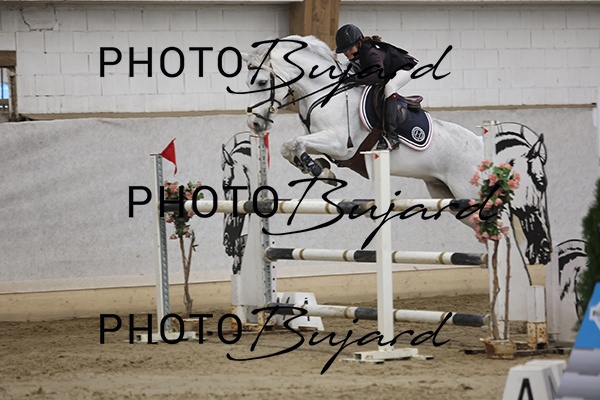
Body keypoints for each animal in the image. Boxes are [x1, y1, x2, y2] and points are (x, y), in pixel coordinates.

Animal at [242, 35, 482, 202]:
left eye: (262, 82)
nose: (253, 123)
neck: (325, 93)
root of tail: (481, 146)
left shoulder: (340, 144)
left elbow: (296, 142)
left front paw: (315, 168)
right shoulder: (318, 137)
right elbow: (287, 146)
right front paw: (319, 169)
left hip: (467, 190)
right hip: (444, 191)